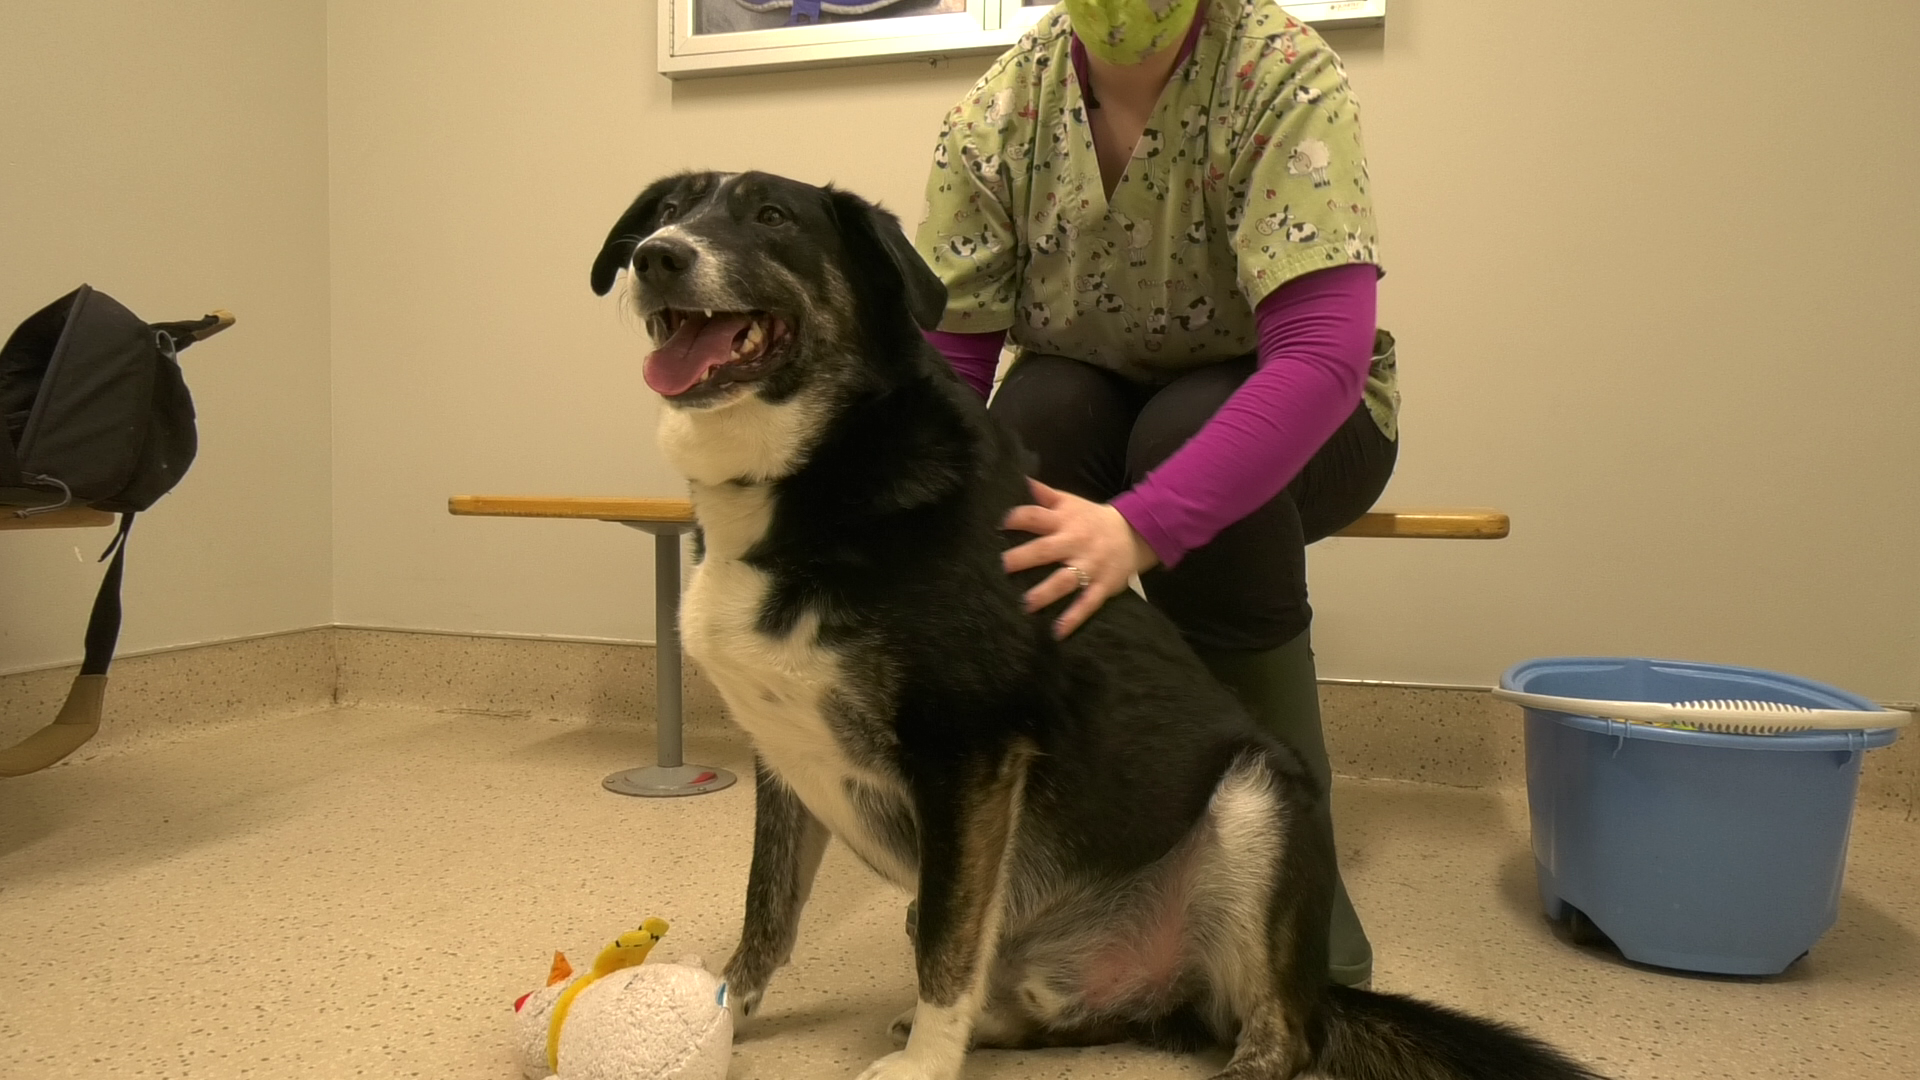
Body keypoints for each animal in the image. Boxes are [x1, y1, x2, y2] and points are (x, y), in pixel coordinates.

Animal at [587, 171, 1605, 1076]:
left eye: (770, 216)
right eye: (670, 208)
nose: (656, 256)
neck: (820, 472)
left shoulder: (969, 754)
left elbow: (945, 951)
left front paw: (922, 1066)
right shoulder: (785, 758)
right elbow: (767, 914)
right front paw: (715, 1019)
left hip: (1258, 798)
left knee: (1281, 1039)